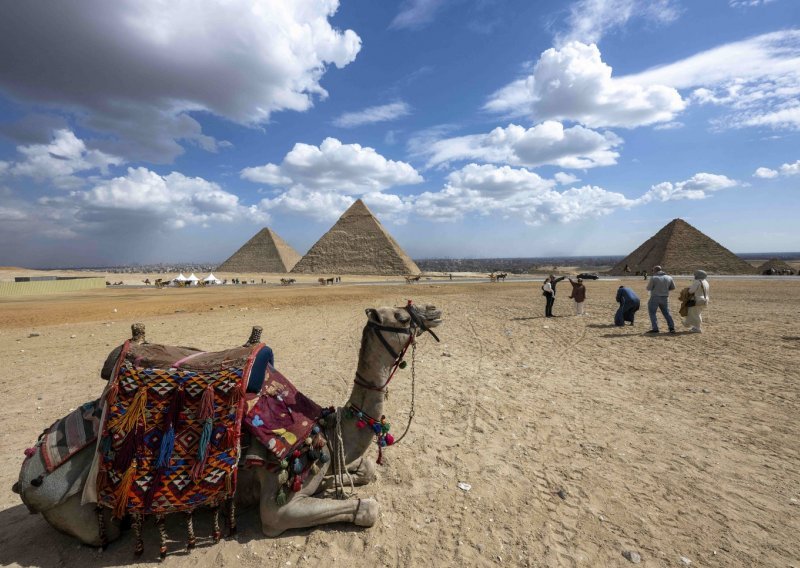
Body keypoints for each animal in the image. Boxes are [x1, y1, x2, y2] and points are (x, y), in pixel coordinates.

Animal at [14, 304, 444, 548]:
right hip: (86, 515)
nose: (433, 310)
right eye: (402, 317)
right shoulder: (277, 503)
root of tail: (26, 479)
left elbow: (365, 470)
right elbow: (367, 508)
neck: (325, 428)